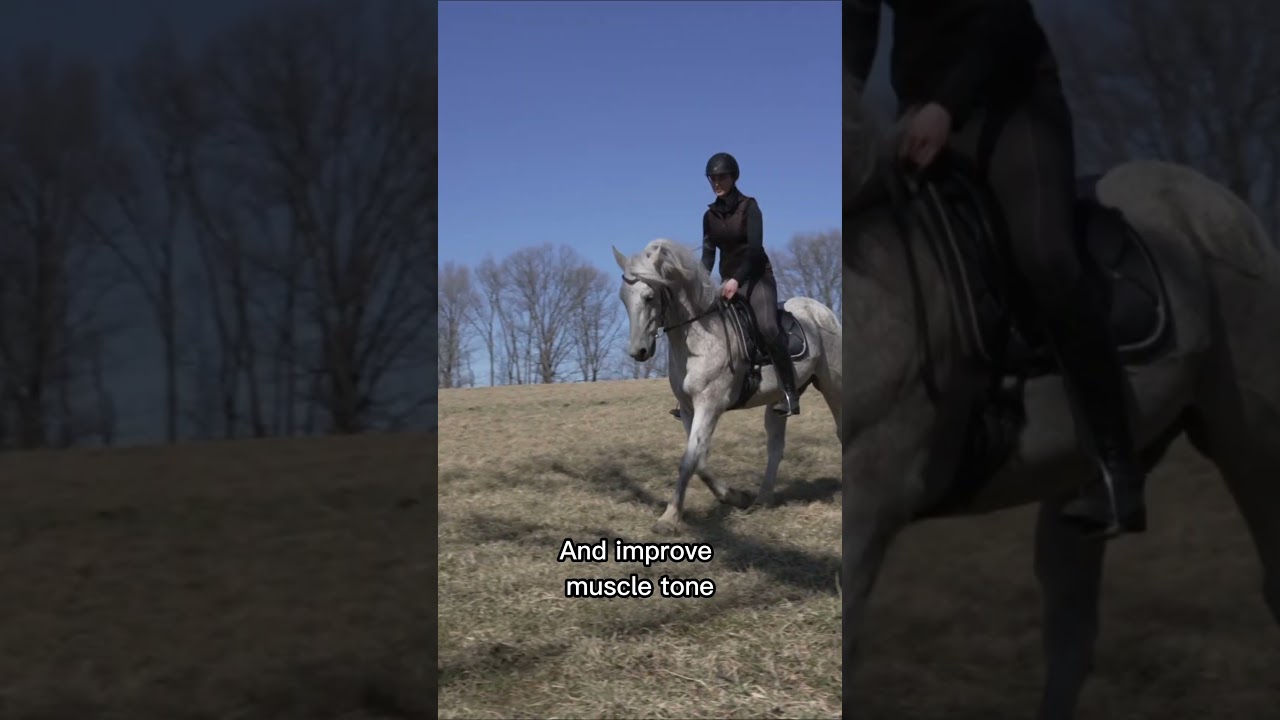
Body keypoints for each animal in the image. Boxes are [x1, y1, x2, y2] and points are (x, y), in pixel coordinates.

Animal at [611, 239, 843, 535]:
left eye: (649, 297)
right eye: (623, 298)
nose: (638, 352)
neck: (699, 335)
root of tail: (822, 311)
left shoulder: (709, 405)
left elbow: (689, 460)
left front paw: (669, 518)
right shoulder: (688, 409)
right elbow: (698, 460)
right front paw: (735, 496)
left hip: (832, 385)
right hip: (777, 401)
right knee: (775, 447)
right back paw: (762, 499)